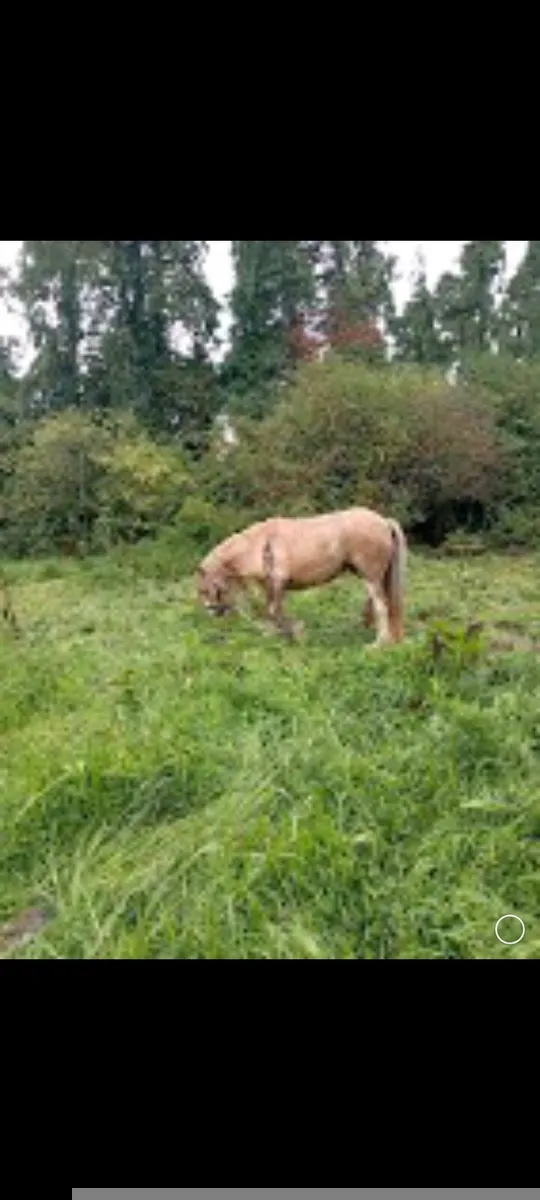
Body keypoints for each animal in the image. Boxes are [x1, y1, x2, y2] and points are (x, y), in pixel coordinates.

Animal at [195, 506, 407, 645]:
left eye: (204, 589)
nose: (211, 611)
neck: (260, 544)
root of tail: (384, 521)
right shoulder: (270, 586)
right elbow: (272, 611)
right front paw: (277, 633)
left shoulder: (278, 582)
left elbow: (273, 611)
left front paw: (293, 633)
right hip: (371, 578)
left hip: (370, 577)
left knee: (381, 607)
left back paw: (378, 644)